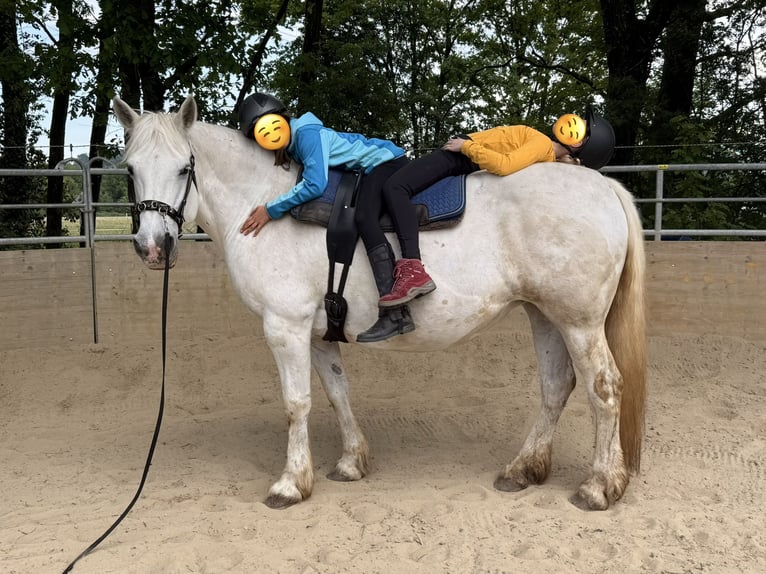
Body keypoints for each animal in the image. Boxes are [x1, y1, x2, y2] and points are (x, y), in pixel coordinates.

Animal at [112, 95, 646, 511]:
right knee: (557, 387)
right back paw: (524, 469)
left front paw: (290, 484)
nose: (153, 246)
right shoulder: (316, 331)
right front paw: (351, 462)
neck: (262, 196)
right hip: (546, 315)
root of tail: (603, 185)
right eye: (131, 169)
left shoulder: (284, 326)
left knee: (605, 388)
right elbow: (335, 393)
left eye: (184, 168)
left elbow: (296, 403)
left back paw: (599, 486)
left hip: (579, 322)